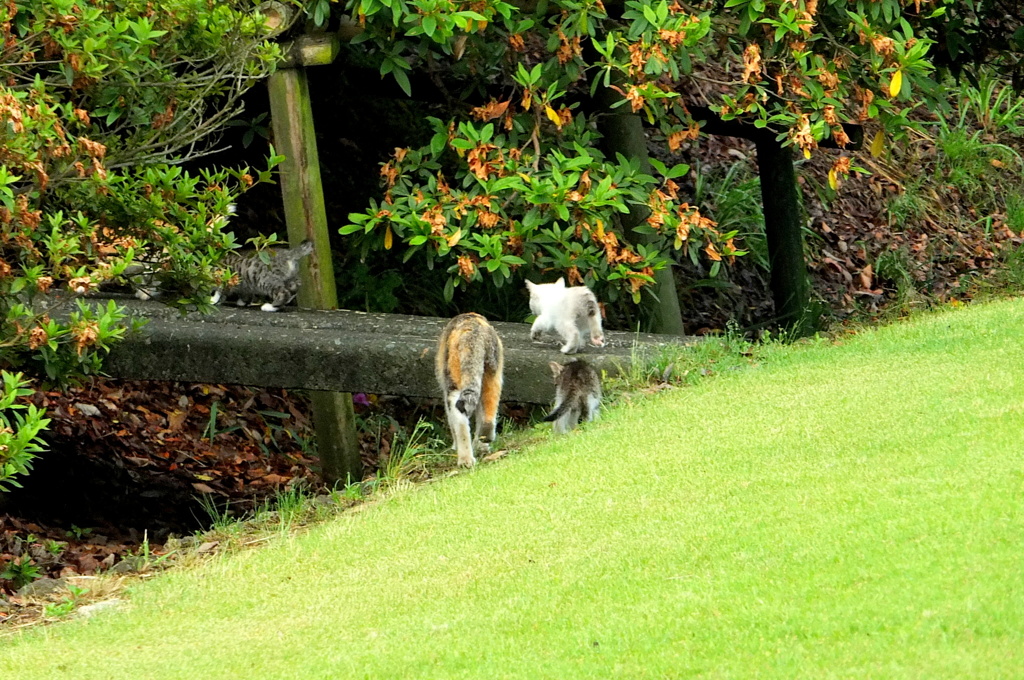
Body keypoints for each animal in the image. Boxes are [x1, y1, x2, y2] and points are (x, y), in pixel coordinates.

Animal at [432, 315, 503, 466]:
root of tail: (470, 328)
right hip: (491, 374)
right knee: (486, 415)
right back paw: (475, 450)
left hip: (454, 381)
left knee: (459, 419)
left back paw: (466, 457)